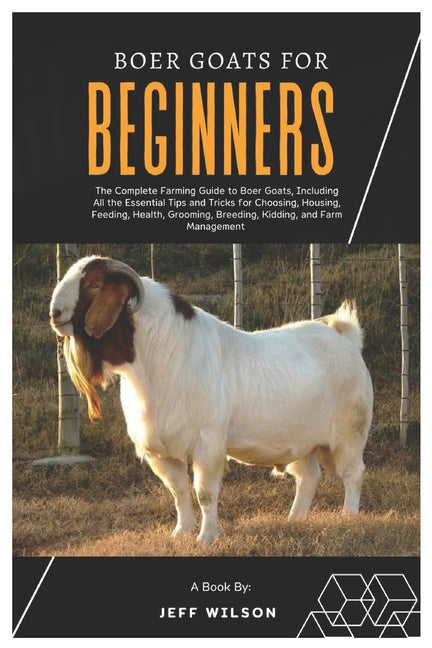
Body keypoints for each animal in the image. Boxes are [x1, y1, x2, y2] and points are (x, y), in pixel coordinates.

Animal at [49, 255, 373, 545]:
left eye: (93, 284)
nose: (55, 312)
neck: (162, 353)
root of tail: (346, 339)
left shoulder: (207, 443)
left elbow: (204, 492)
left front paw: (206, 537)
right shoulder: (161, 451)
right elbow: (179, 491)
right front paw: (181, 533)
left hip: (349, 433)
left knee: (353, 473)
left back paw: (348, 516)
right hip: (303, 441)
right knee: (308, 477)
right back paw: (295, 520)